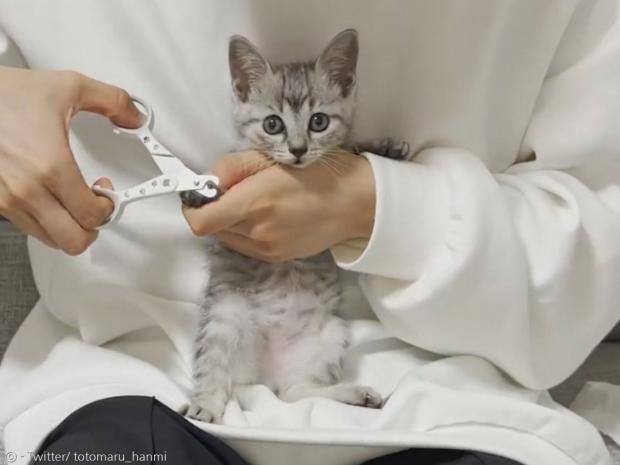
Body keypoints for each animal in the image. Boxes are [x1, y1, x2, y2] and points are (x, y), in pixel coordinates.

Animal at [182, 28, 410, 420]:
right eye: (272, 124)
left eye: (318, 121)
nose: (299, 149)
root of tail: (263, 372)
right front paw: (202, 191)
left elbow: (349, 148)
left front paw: (383, 148)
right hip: (224, 317)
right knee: (214, 373)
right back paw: (206, 406)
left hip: (330, 333)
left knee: (296, 393)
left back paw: (354, 394)